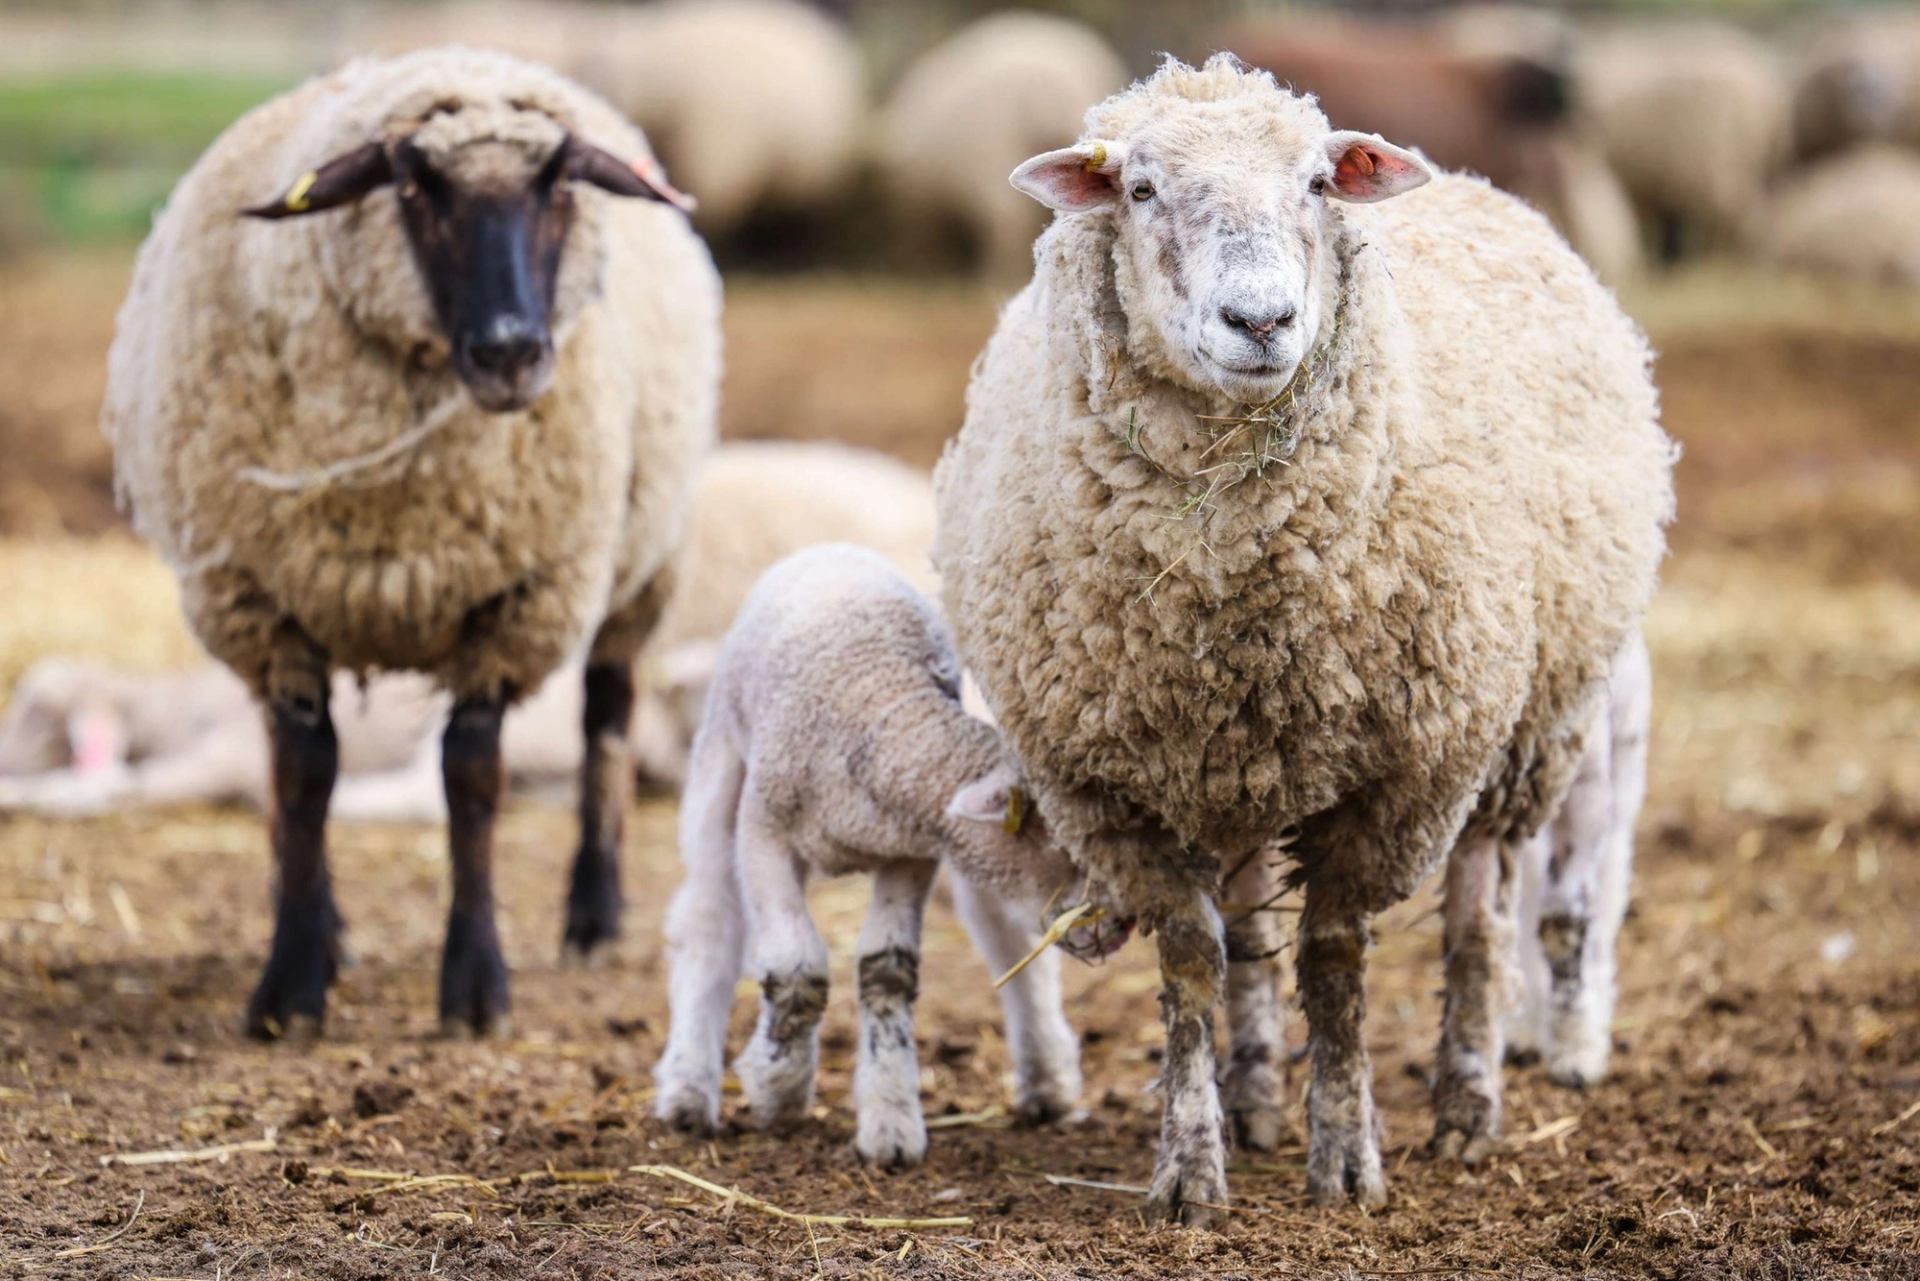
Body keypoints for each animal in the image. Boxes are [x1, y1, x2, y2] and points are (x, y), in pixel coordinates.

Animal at [101, 46, 721, 1038]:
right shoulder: (264, 603)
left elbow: (471, 778)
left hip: (644, 566)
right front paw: (293, 980)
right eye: (413, 185)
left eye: (560, 183)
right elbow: (304, 775)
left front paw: (474, 986)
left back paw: (593, 915)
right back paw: (330, 930)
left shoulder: (515, 602)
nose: (511, 352)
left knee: (609, 714)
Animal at [651, 545, 1108, 1165]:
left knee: (1007, 941)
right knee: (709, 920)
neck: (884, 709)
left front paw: (891, 1120)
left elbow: (887, 970)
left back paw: (1046, 1078)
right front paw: (778, 1087)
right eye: (1066, 843)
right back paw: (688, 1089)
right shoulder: (764, 834)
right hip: (720, 764)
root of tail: (834, 548)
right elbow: (795, 968)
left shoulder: (911, 853)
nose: (1121, 924)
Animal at [932, 55, 1674, 1222]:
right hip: (1236, 766)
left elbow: (1334, 962)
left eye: (1319, 184)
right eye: (1140, 189)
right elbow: (1194, 959)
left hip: (1518, 738)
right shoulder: (1110, 787)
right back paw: (1253, 1103)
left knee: (1480, 918)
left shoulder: (1402, 777)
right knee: (1246, 926)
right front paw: (1192, 1168)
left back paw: (1466, 1108)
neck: (1228, 580)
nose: (1262, 319)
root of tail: (1472, 181)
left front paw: (1348, 1159)